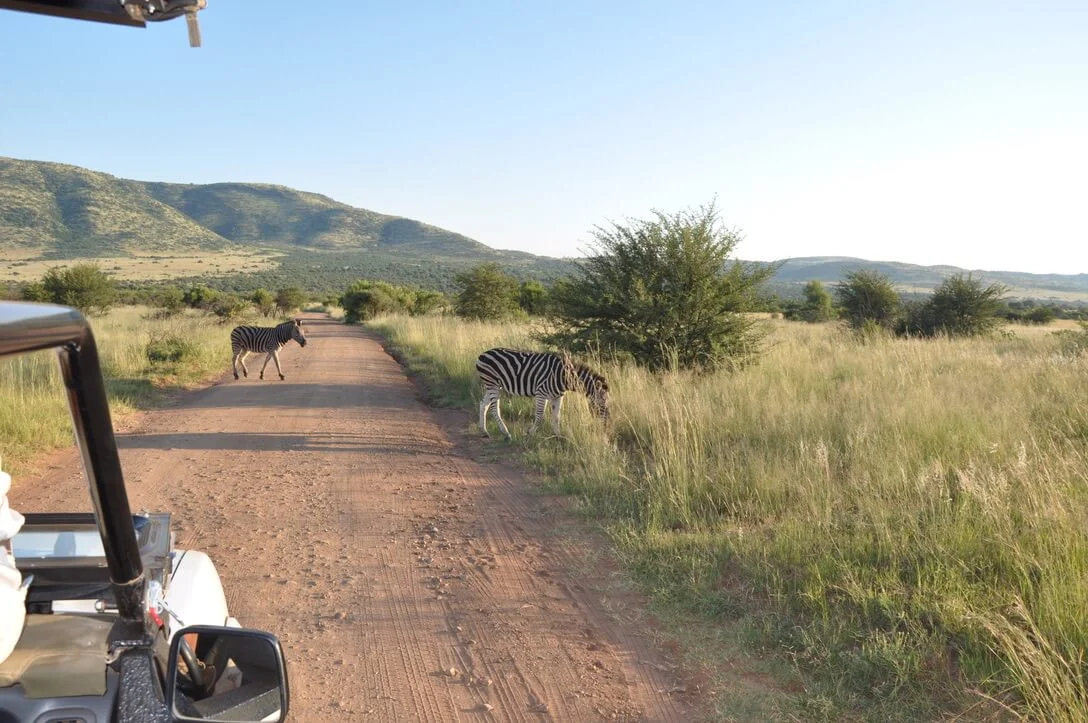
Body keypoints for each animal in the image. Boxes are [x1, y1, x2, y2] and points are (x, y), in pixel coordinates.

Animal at [476, 348, 610, 440]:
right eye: (602, 402)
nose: (606, 423)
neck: (563, 376)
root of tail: (482, 354)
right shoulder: (541, 393)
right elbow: (540, 416)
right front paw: (530, 433)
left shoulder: (558, 397)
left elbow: (556, 417)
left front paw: (558, 436)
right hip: (492, 384)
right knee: (494, 408)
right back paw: (505, 432)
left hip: (493, 385)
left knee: (483, 404)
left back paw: (484, 431)